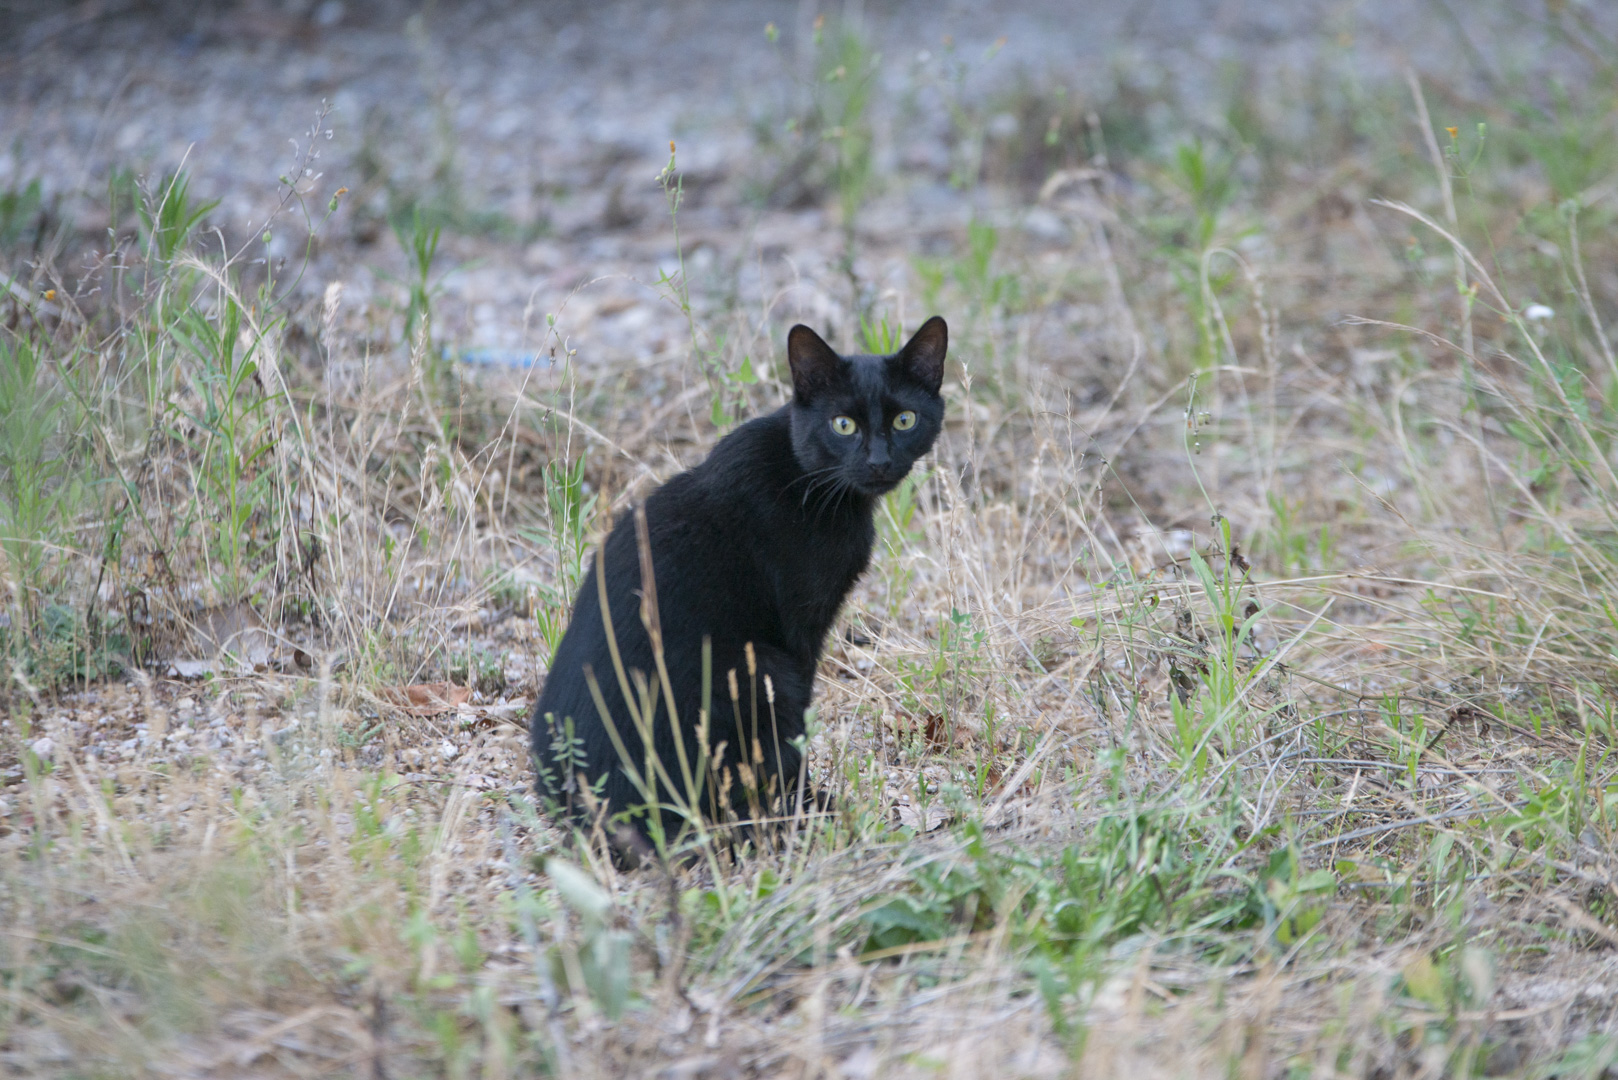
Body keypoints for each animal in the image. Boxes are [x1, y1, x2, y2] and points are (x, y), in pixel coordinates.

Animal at [531, 316, 947, 847]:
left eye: (905, 421)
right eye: (843, 425)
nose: (878, 461)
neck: (810, 481)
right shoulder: (799, 634)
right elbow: (797, 730)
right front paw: (807, 797)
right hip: (761, 670)